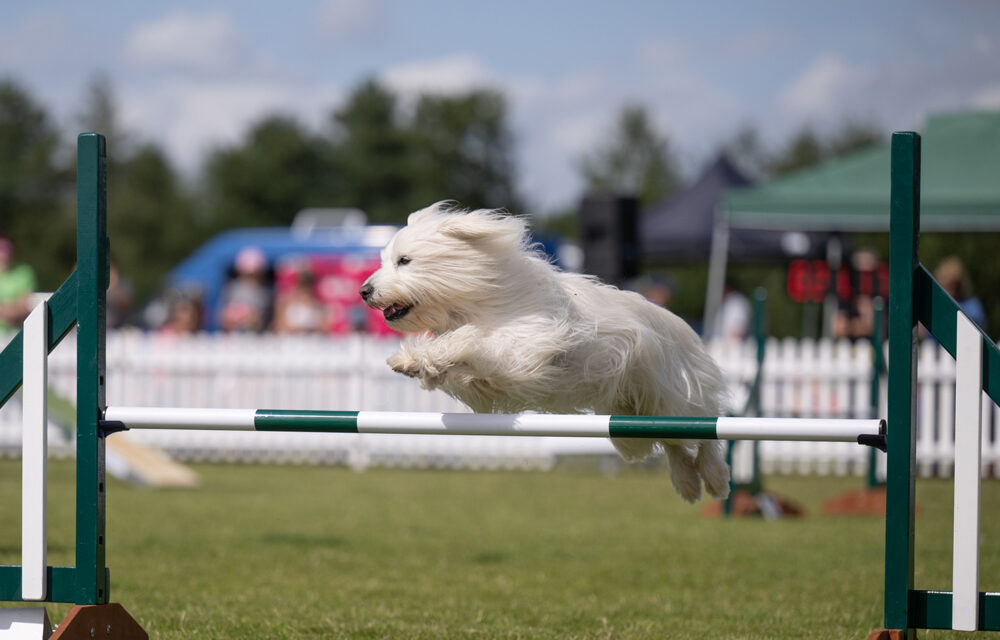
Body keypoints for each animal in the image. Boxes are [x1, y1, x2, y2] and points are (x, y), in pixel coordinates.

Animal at [358, 202, 728, 502]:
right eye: (385, 260)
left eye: (404, 261)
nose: (364, 290)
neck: (480, 300)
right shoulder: (488, 382)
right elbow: (467, 371)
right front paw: (417, 363)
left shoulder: (528, 344)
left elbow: (475, 340)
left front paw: (426, 356)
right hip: (634, 413)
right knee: (673, 441)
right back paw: (687, 484)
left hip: (670, 392)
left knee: (704, 427)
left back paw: (715, 478)